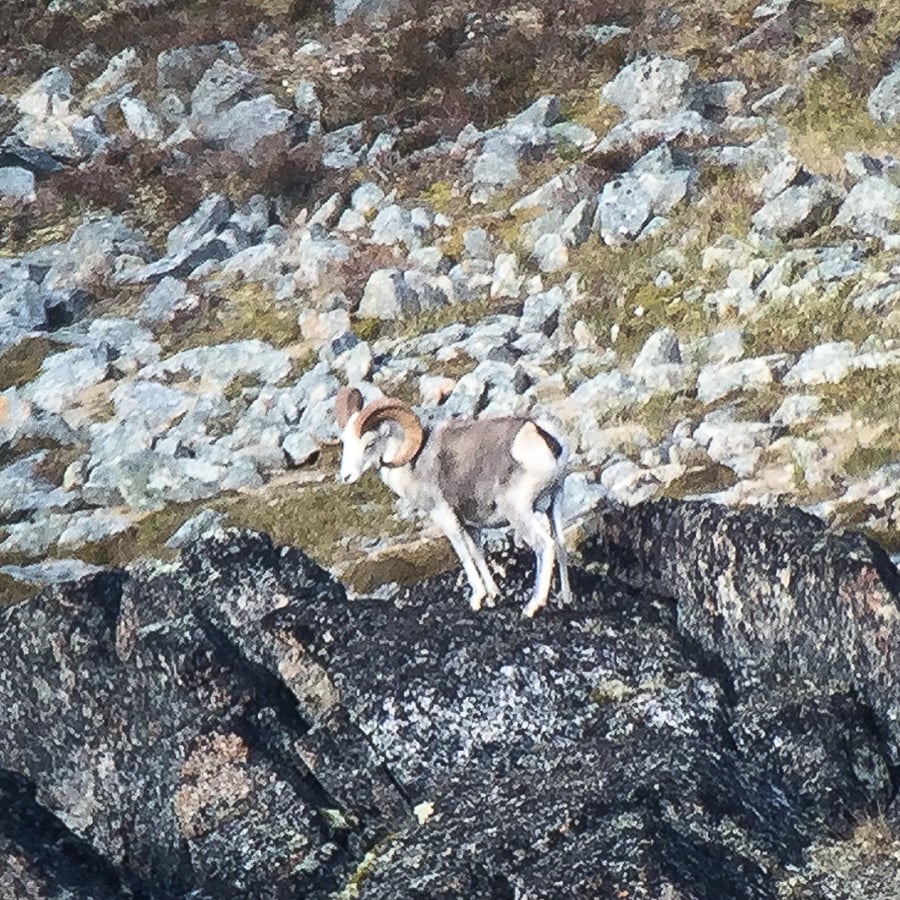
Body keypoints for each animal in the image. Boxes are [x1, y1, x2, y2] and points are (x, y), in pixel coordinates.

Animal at [334, 386, 571, 617]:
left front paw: (477, 599)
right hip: (555, 503)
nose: (346, 477)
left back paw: (532, 607)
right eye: (345, 442)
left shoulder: (445, 516)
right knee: (560, 544)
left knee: (544, 545)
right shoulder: (472, 524)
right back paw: (565, 600)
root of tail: (540, 437)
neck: (411, 463)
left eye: (370, 444)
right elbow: (477, 553)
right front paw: (493, 597)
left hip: (519, 512)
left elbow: (463, 553)